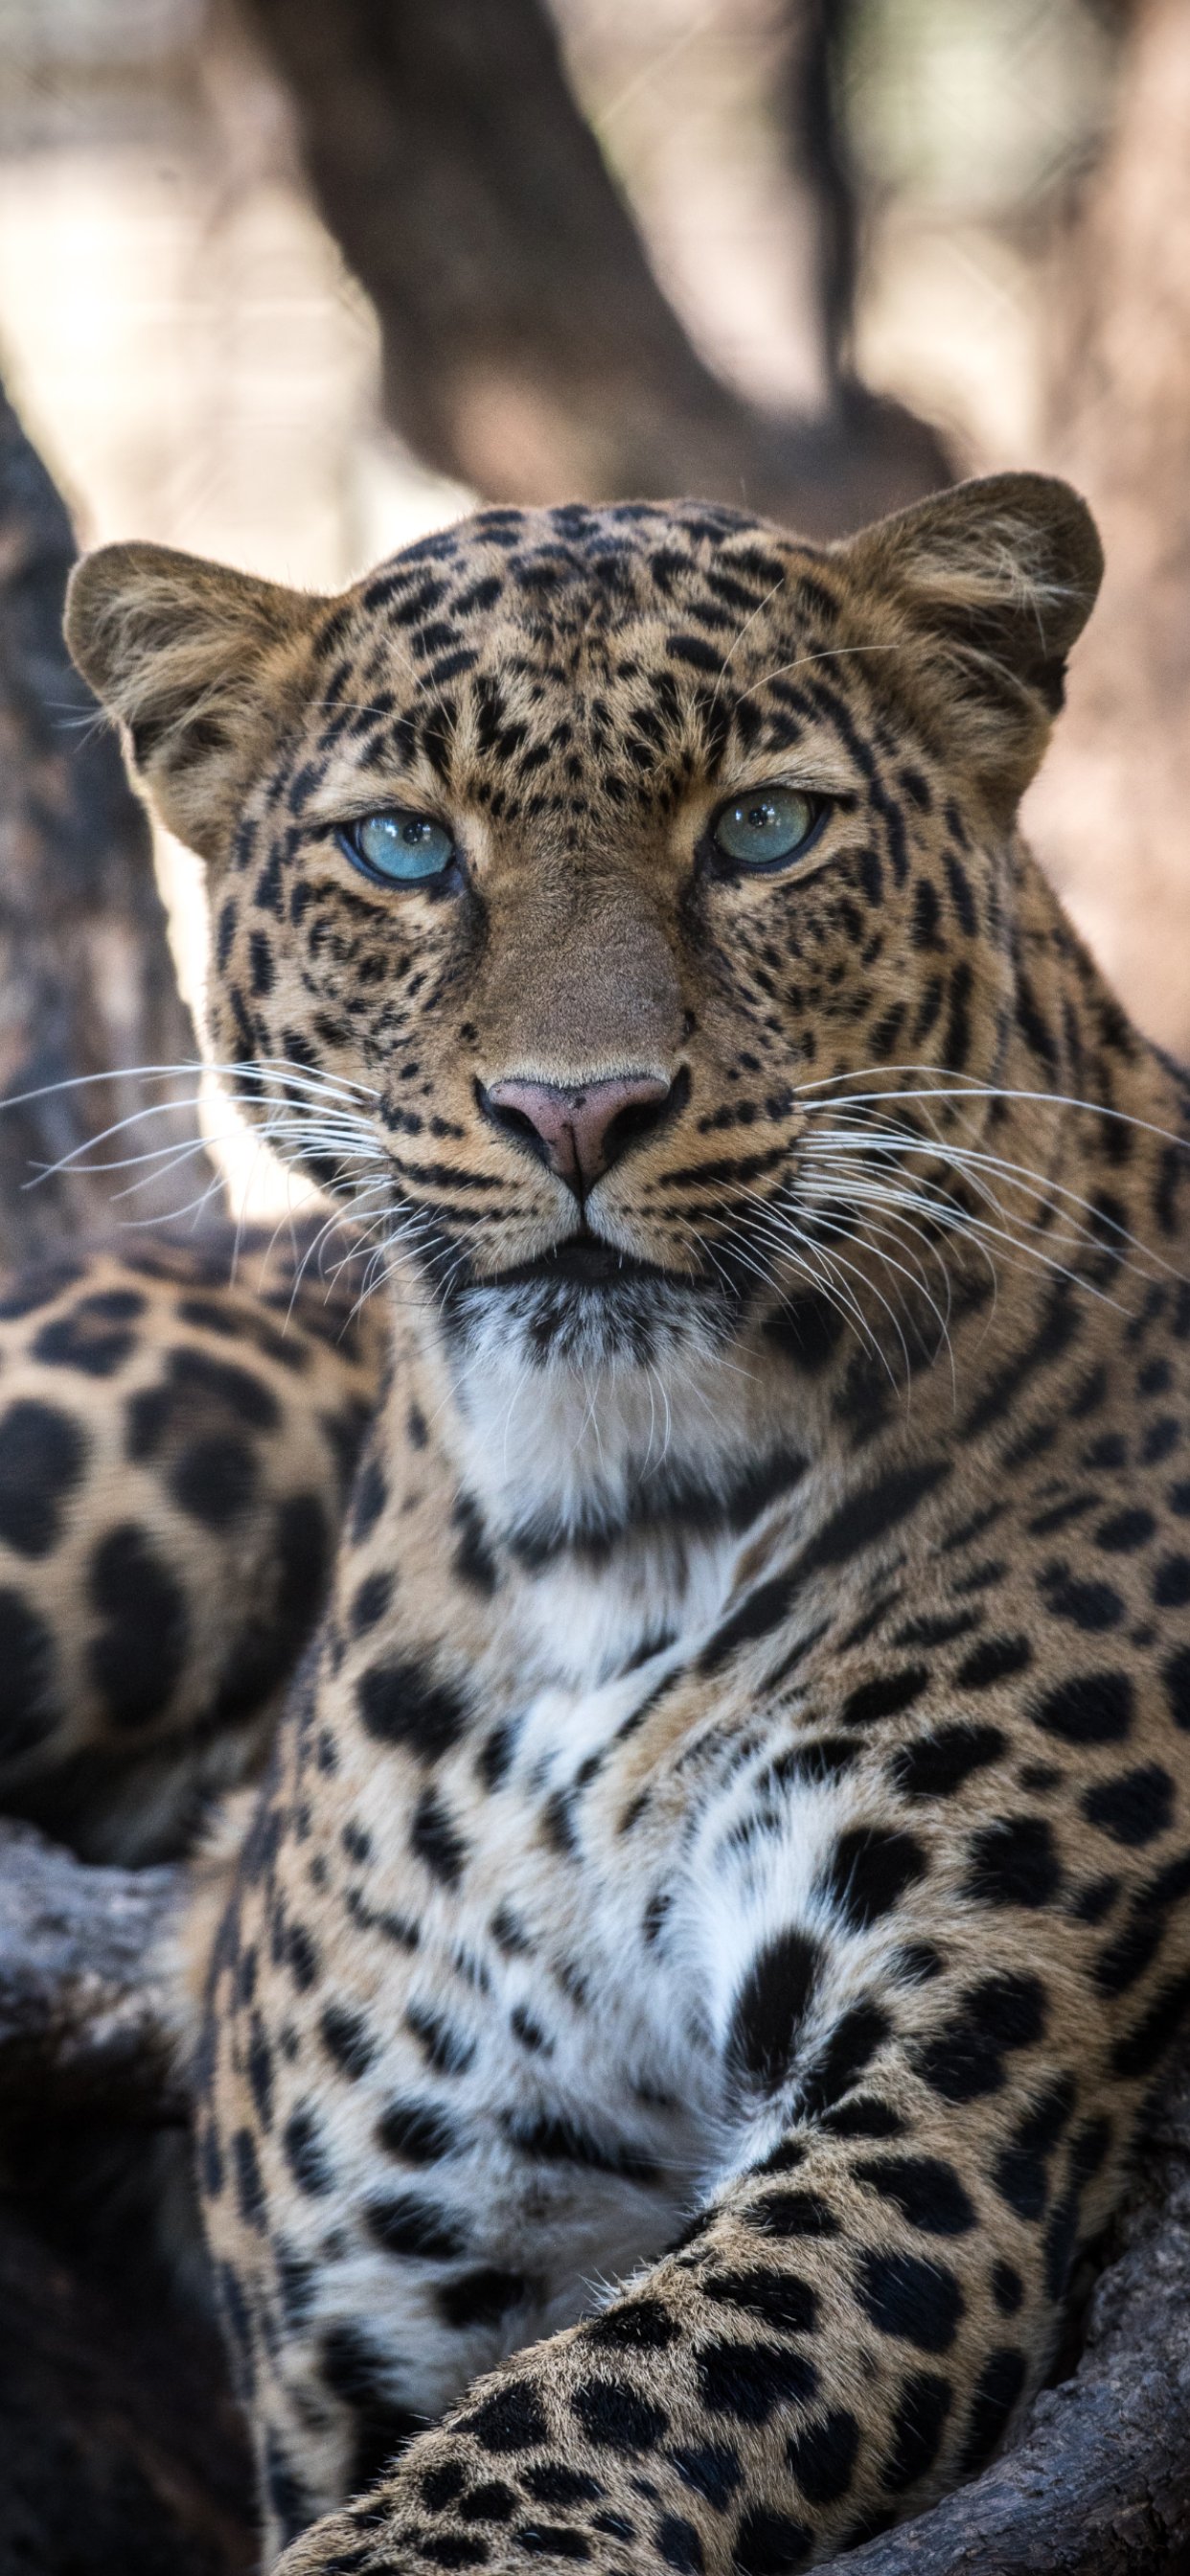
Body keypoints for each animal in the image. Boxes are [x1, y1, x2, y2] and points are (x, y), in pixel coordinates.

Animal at [57, 468, 1190, 2576]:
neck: (605, 1524)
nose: (574, 1111)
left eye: (761, 828)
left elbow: (553, 2447)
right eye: (405, 848)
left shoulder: (940, 2125)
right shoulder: (396, 2281)